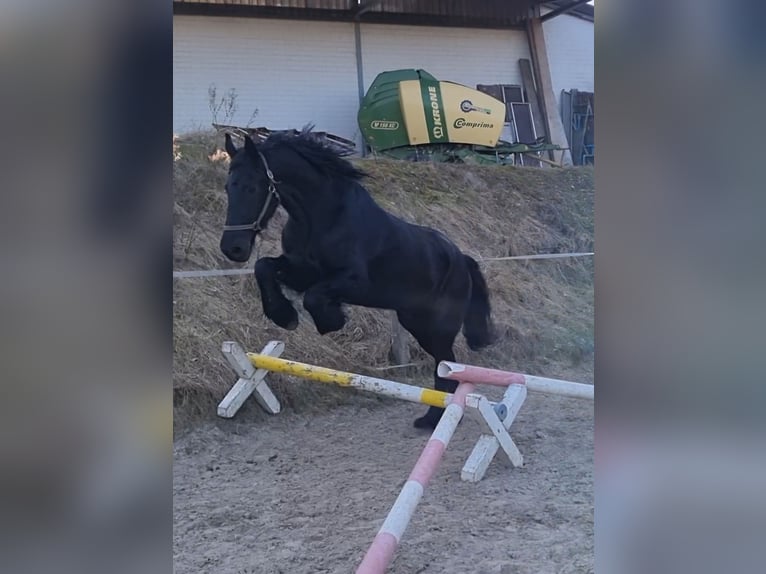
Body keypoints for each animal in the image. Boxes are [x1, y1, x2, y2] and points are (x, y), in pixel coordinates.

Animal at [219, 129, 496, 429]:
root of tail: (461, 259)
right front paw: (284, 315)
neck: (322, 218)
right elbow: (263, 267)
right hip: (416, 323)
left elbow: (315, 297)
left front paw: (330, 321)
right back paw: (430, 419)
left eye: (252, 187)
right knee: (443, 366)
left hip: (439, 327)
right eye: (228, 187)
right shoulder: (301, 271)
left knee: (446, 366)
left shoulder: (354, 282)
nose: (233, 248)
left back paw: (435, 419)